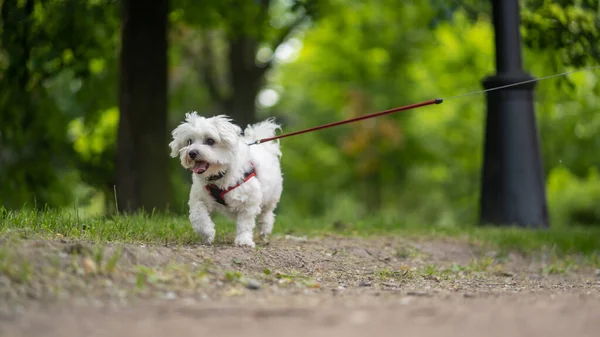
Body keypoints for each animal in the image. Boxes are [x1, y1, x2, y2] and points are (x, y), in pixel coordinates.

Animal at [169, 113, 282, 247]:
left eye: (210, 140)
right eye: (189, 141)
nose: (192, 152)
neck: (220, 175)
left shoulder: (249, 201)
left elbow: (245, 224)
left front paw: (243, 240)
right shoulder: (199, 199)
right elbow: (198, 216)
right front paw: (207, 233)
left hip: (271, 195)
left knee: (267, 212)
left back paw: (264, 228)